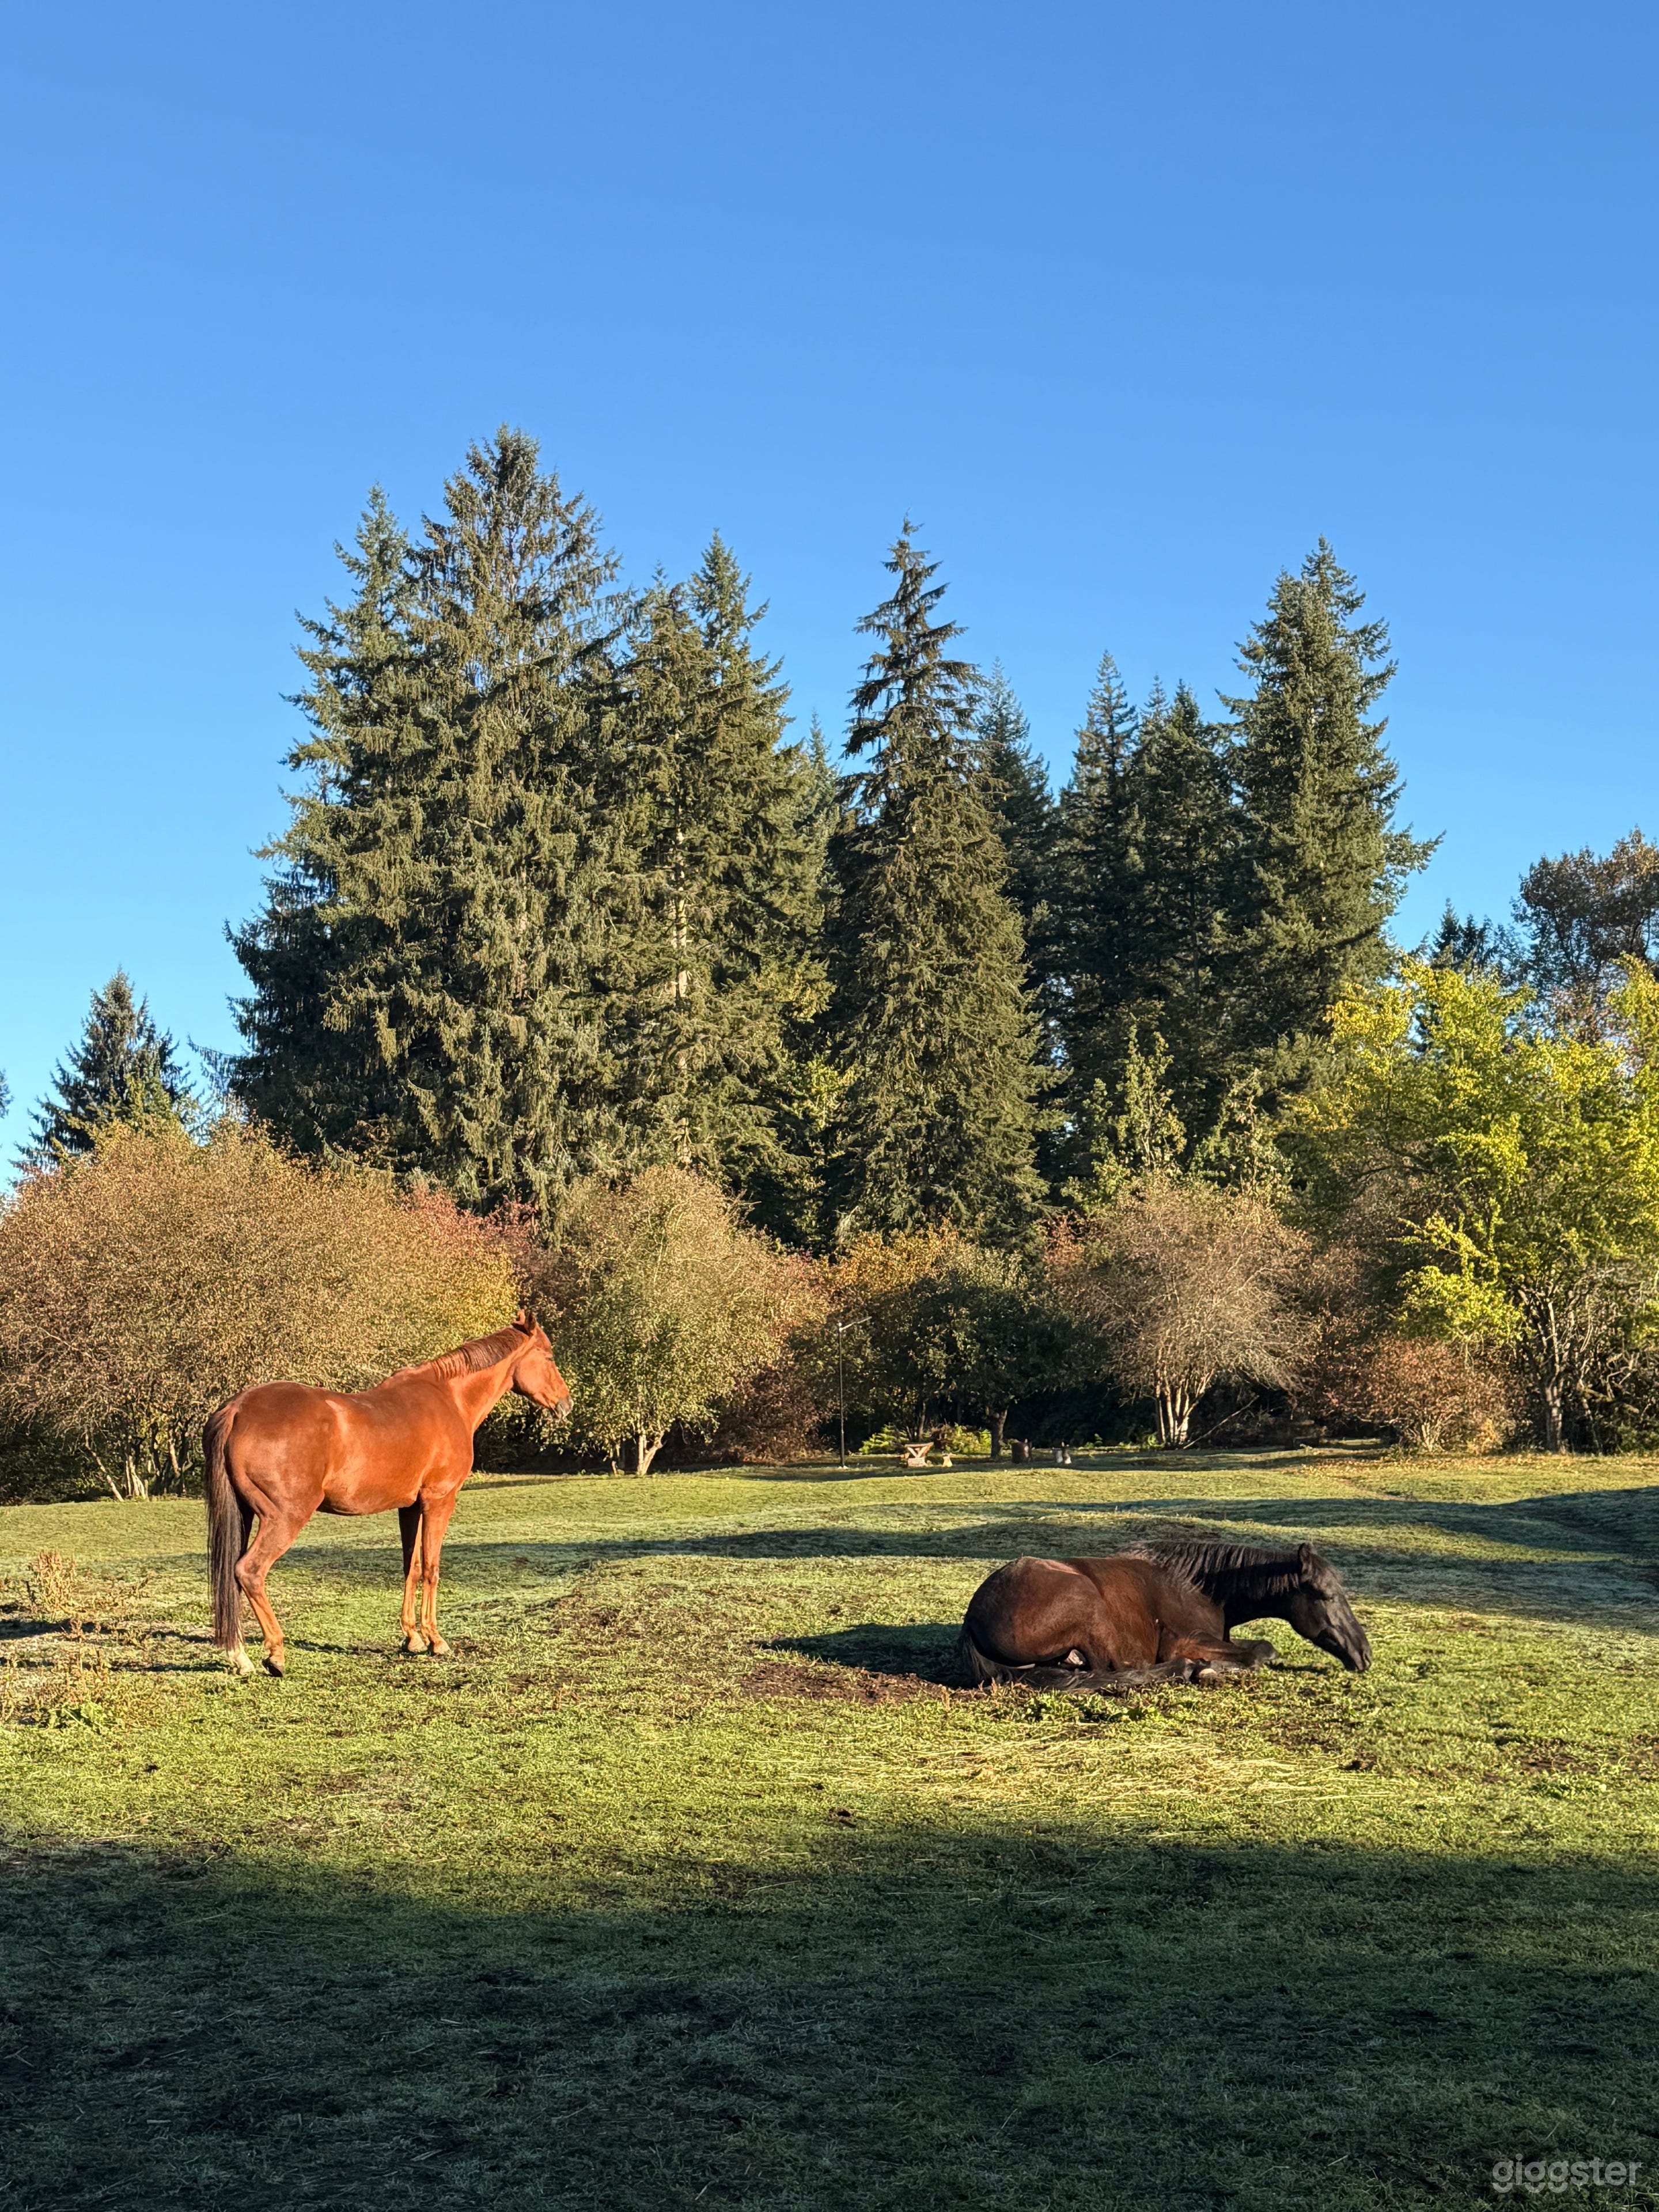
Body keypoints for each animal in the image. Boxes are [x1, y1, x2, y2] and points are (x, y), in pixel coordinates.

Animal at [204, 1312, 571, 1677]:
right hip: (284, 1518)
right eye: (550, 1357)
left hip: (244, 1516)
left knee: (232, 1576)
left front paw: (412, 1638)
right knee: (249, 1572)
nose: (565, 1404)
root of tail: (238, 1408)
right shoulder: (439, 1501)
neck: (449, 1399)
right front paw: (436, 1640)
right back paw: (274, 1654)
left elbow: (412, 1566)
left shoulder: (410, 1507)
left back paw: (239, 1654)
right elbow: (432, 1568)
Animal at [958, 1539, 1372, 1691]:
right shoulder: (1183, 1641)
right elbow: (1262, 1651)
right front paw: (1210, 1668)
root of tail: (973, 1616)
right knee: (1120, 1671)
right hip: (1090, 1611)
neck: (1201, 1587)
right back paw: (1193, 1670)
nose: (1364, 1654)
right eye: (1327, 1596)